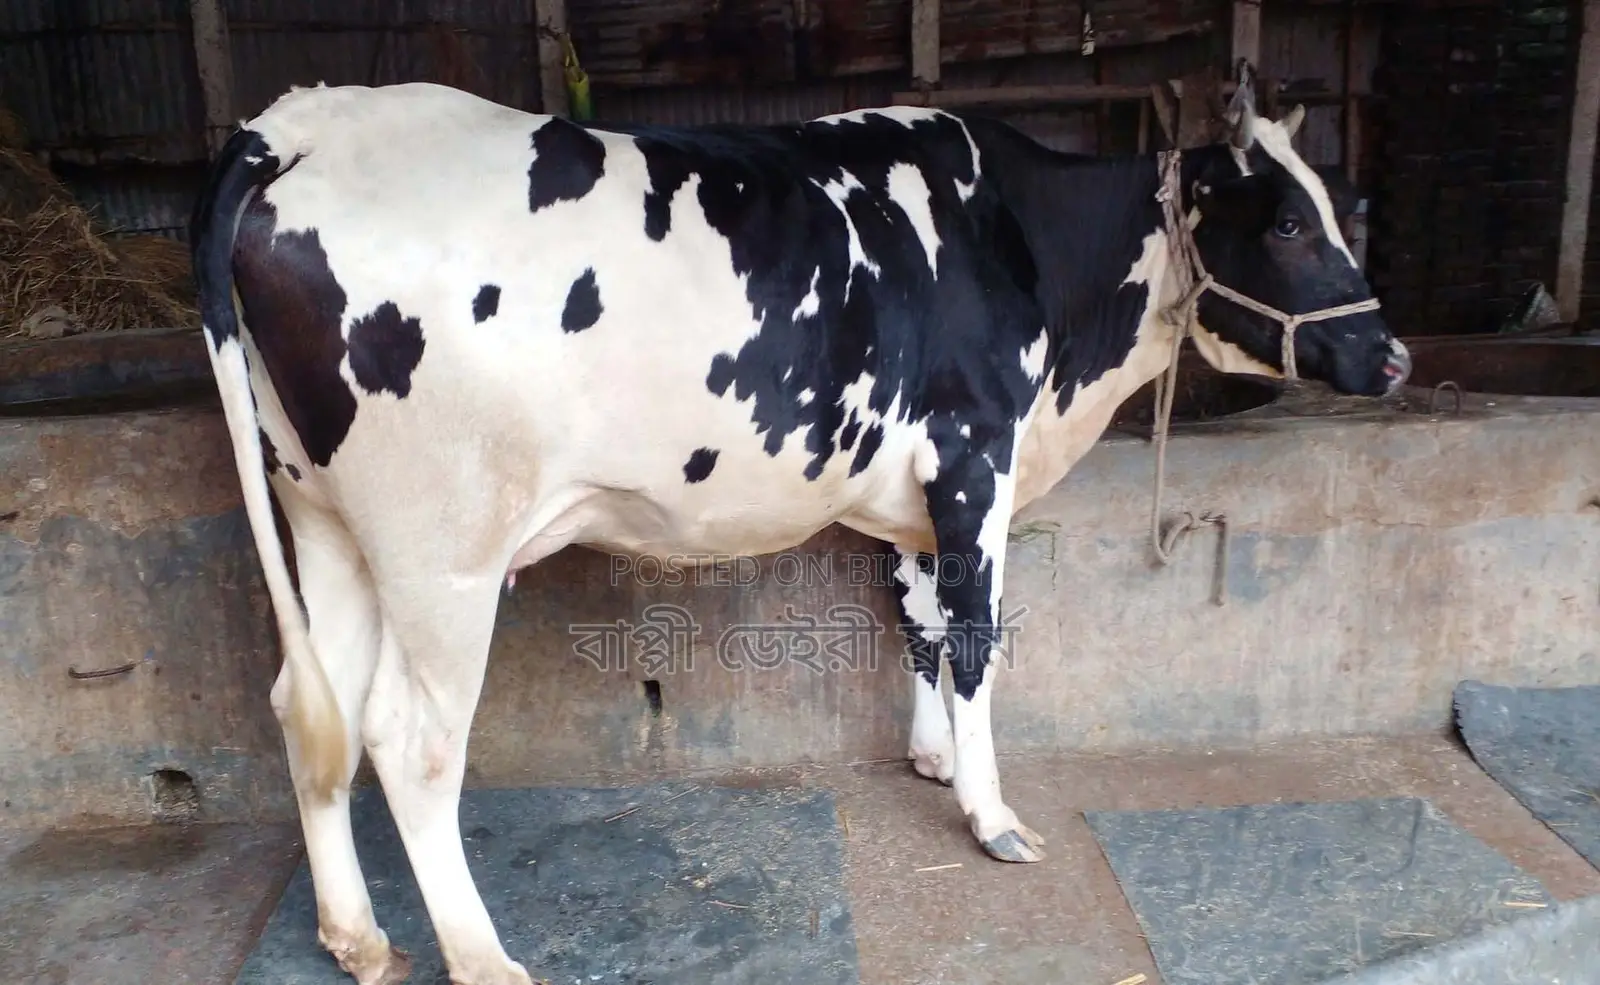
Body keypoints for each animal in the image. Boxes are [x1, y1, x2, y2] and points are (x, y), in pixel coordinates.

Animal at [189, 72, 1409, 984]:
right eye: (1287, 221)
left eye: (1342, 205)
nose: (1393, 356)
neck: (1021, 240)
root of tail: (301, 120)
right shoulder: (976, 452)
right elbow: (976, 639)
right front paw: (991, 814)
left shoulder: (917, 484)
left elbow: (917, 618)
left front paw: (931, 757)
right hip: (443, 548)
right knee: (408, 736)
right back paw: (482, 956)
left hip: (325, 518)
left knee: (310, 707)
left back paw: (356, 936)